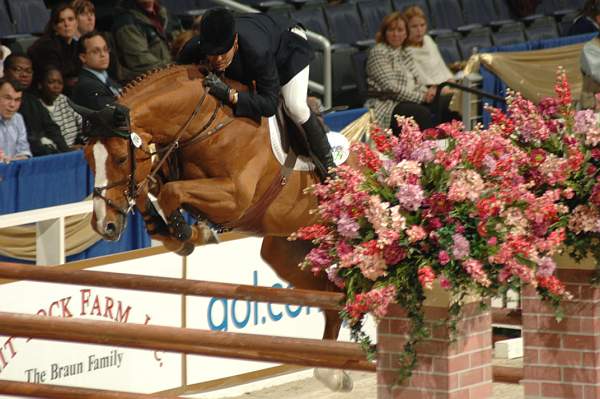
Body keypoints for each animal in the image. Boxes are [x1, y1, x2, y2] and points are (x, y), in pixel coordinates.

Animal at [77, 65, 354, 390]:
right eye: (87, 158)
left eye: (121, 159)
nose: (103, 225)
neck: (206, 123)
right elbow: (151, 190)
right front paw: (176, 233)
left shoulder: (234, 198)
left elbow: (171, 193)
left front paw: (190, 233)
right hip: (287, 251)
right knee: (332, 298)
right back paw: (332, 374)